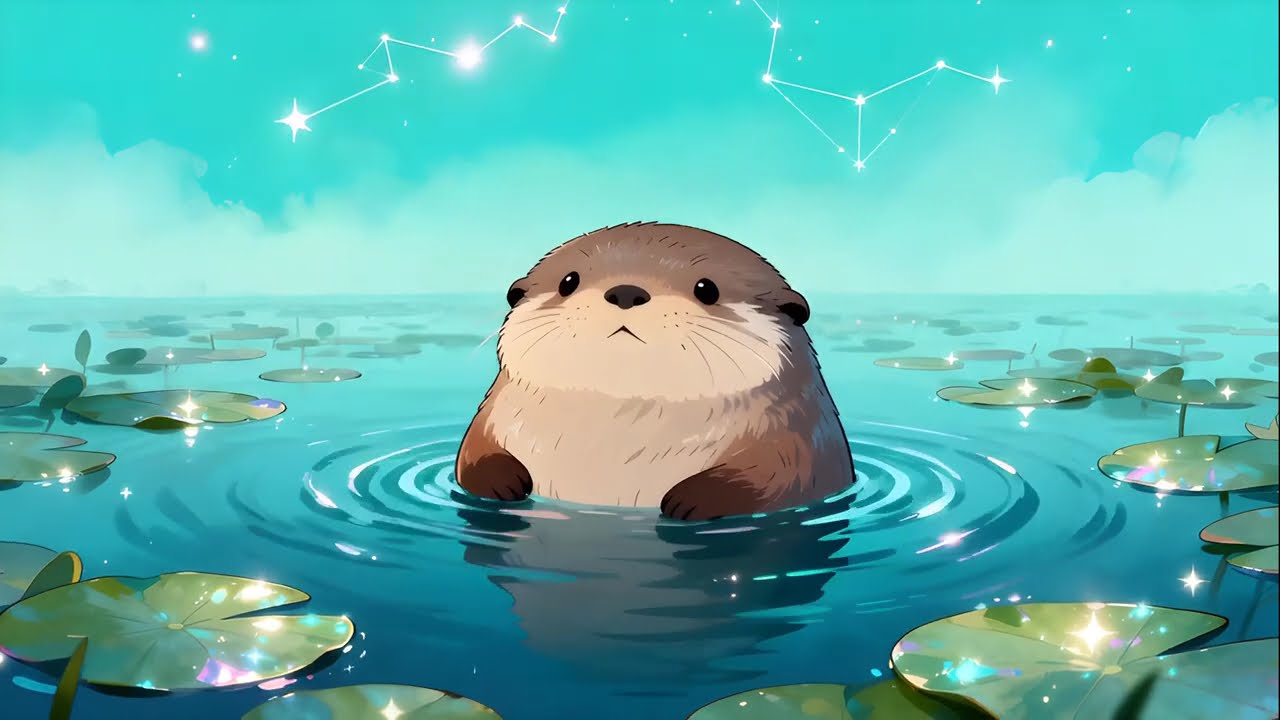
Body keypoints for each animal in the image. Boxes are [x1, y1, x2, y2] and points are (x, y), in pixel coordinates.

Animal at [455, 222, 854, 520]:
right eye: (568, 281)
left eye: (706, 289)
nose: (626, 292)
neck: (612, 441)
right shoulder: (494, 413)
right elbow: (471, 454)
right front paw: (503, 481)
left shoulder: (796, 434)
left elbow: (781, 476)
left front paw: (690, 499)